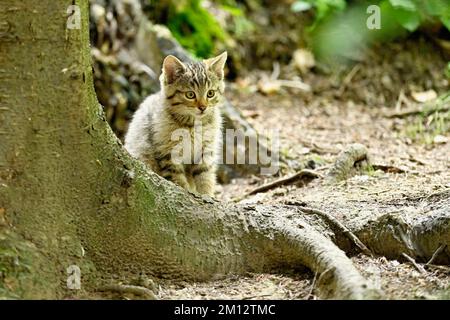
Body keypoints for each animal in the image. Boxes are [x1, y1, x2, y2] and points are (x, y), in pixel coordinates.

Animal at [124, 51, 227, 196]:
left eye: (210, 93)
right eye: (190, 95)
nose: (203, 107)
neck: (192, 125)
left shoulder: (205, 150)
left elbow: (205, 176)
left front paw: (207, 195)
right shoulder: (168, 154)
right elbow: (178, 179)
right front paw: (186, 192)